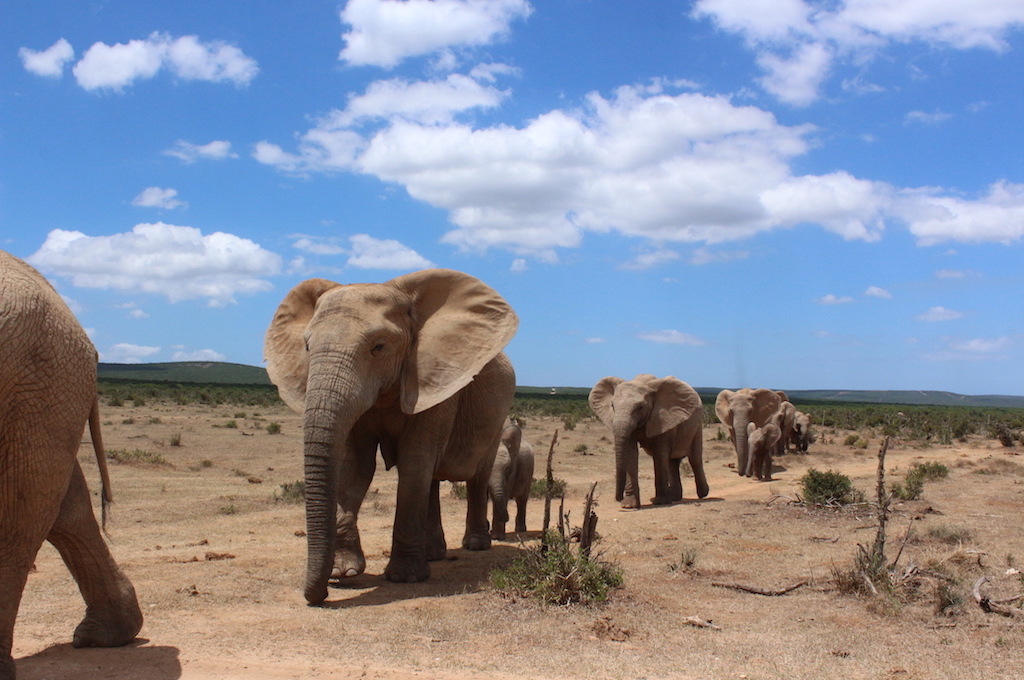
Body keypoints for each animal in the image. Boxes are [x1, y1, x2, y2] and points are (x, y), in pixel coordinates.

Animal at [264, 268, 520, 602]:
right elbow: (355, 466)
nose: (320, 596)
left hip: (496, 418)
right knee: (431, 479)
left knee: (476, 474)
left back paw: (475, 546)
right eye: (307, 347)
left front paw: (405, 578)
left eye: (379, 347)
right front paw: (345, 571)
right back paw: (434, 554)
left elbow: (413, 460)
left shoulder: (433, 382)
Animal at [589, 374, 708, 507]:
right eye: (612, 406)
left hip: (697, 425)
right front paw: (629, 506)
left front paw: (660, 502)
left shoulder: (663, 419)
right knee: (672, 462)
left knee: (694, 459)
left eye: (640, 407)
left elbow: (659, 455)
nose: (618, 499)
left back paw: (703, 494)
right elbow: (631, 453)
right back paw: (675, 497)